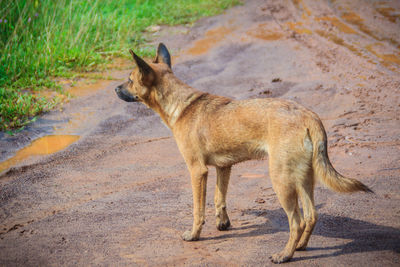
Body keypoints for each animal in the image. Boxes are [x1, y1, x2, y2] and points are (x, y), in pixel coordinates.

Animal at [115, 43, 372, 264]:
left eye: (129, 79)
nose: (115, 89)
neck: (182, 104)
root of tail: (309, 116)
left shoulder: (197, 171)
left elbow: (198, 209)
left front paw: (194, 234)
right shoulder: (223, 167)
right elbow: (219, 199)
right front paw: (223, 224)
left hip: (282, 181)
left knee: (296, 222)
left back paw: (284, 255)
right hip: (304, 179)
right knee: (311, 216)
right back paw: (299, 246)